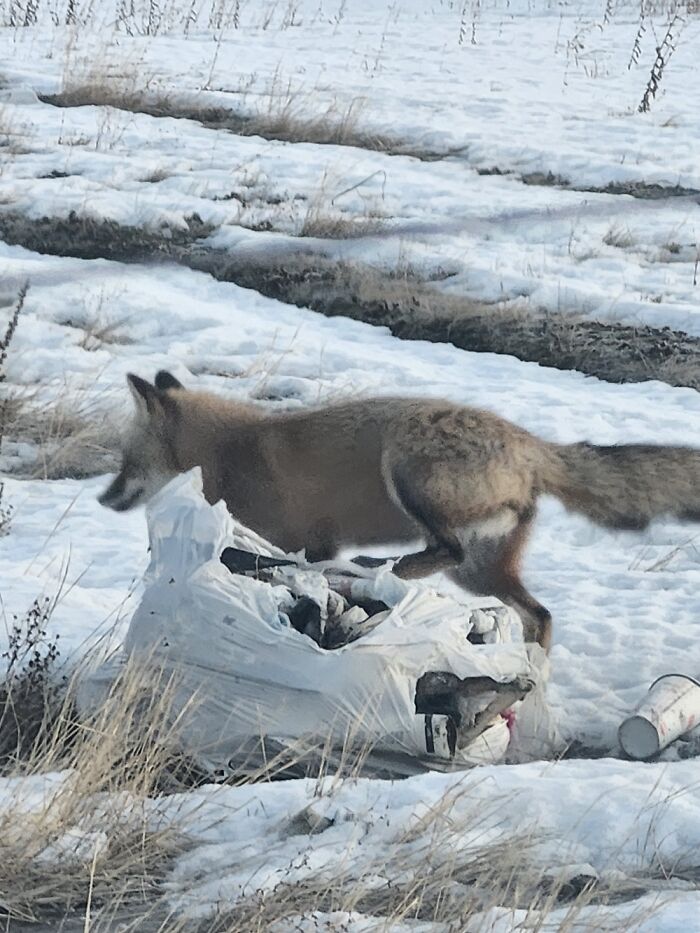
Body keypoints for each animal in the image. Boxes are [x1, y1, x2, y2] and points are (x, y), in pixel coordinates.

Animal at [99, 370, 700, 652]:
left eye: (126, 461)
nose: (103, 499)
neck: (232, 455)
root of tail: (531, 444)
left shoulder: (308, 540)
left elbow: (301, 572)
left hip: (409, 471)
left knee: (442, 549)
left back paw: (390, 568)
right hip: (480, 575)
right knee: (541, 614)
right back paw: (537, 671)